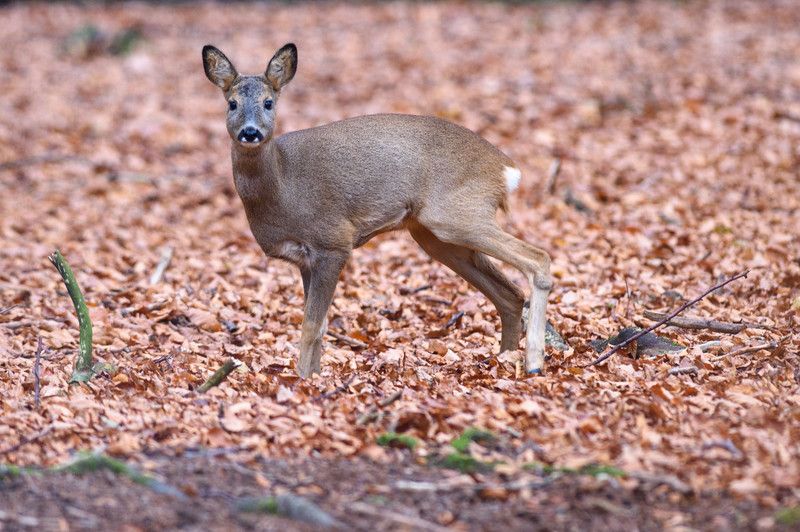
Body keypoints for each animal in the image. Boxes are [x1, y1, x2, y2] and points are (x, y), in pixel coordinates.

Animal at [202, 43, 553, 378]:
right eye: (231, 103)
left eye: (268, 102)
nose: (250, 132)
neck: (283, 187)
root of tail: (507, 169)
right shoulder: (305, 259)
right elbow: (321, 324)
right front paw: (313, 377)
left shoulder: (333, 240)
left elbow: (312, 325)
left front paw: (303, 380)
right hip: (435, 235)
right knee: (510, 294)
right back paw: (506, 360)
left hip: (455, 215)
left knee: (538, 259)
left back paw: (534, 362)